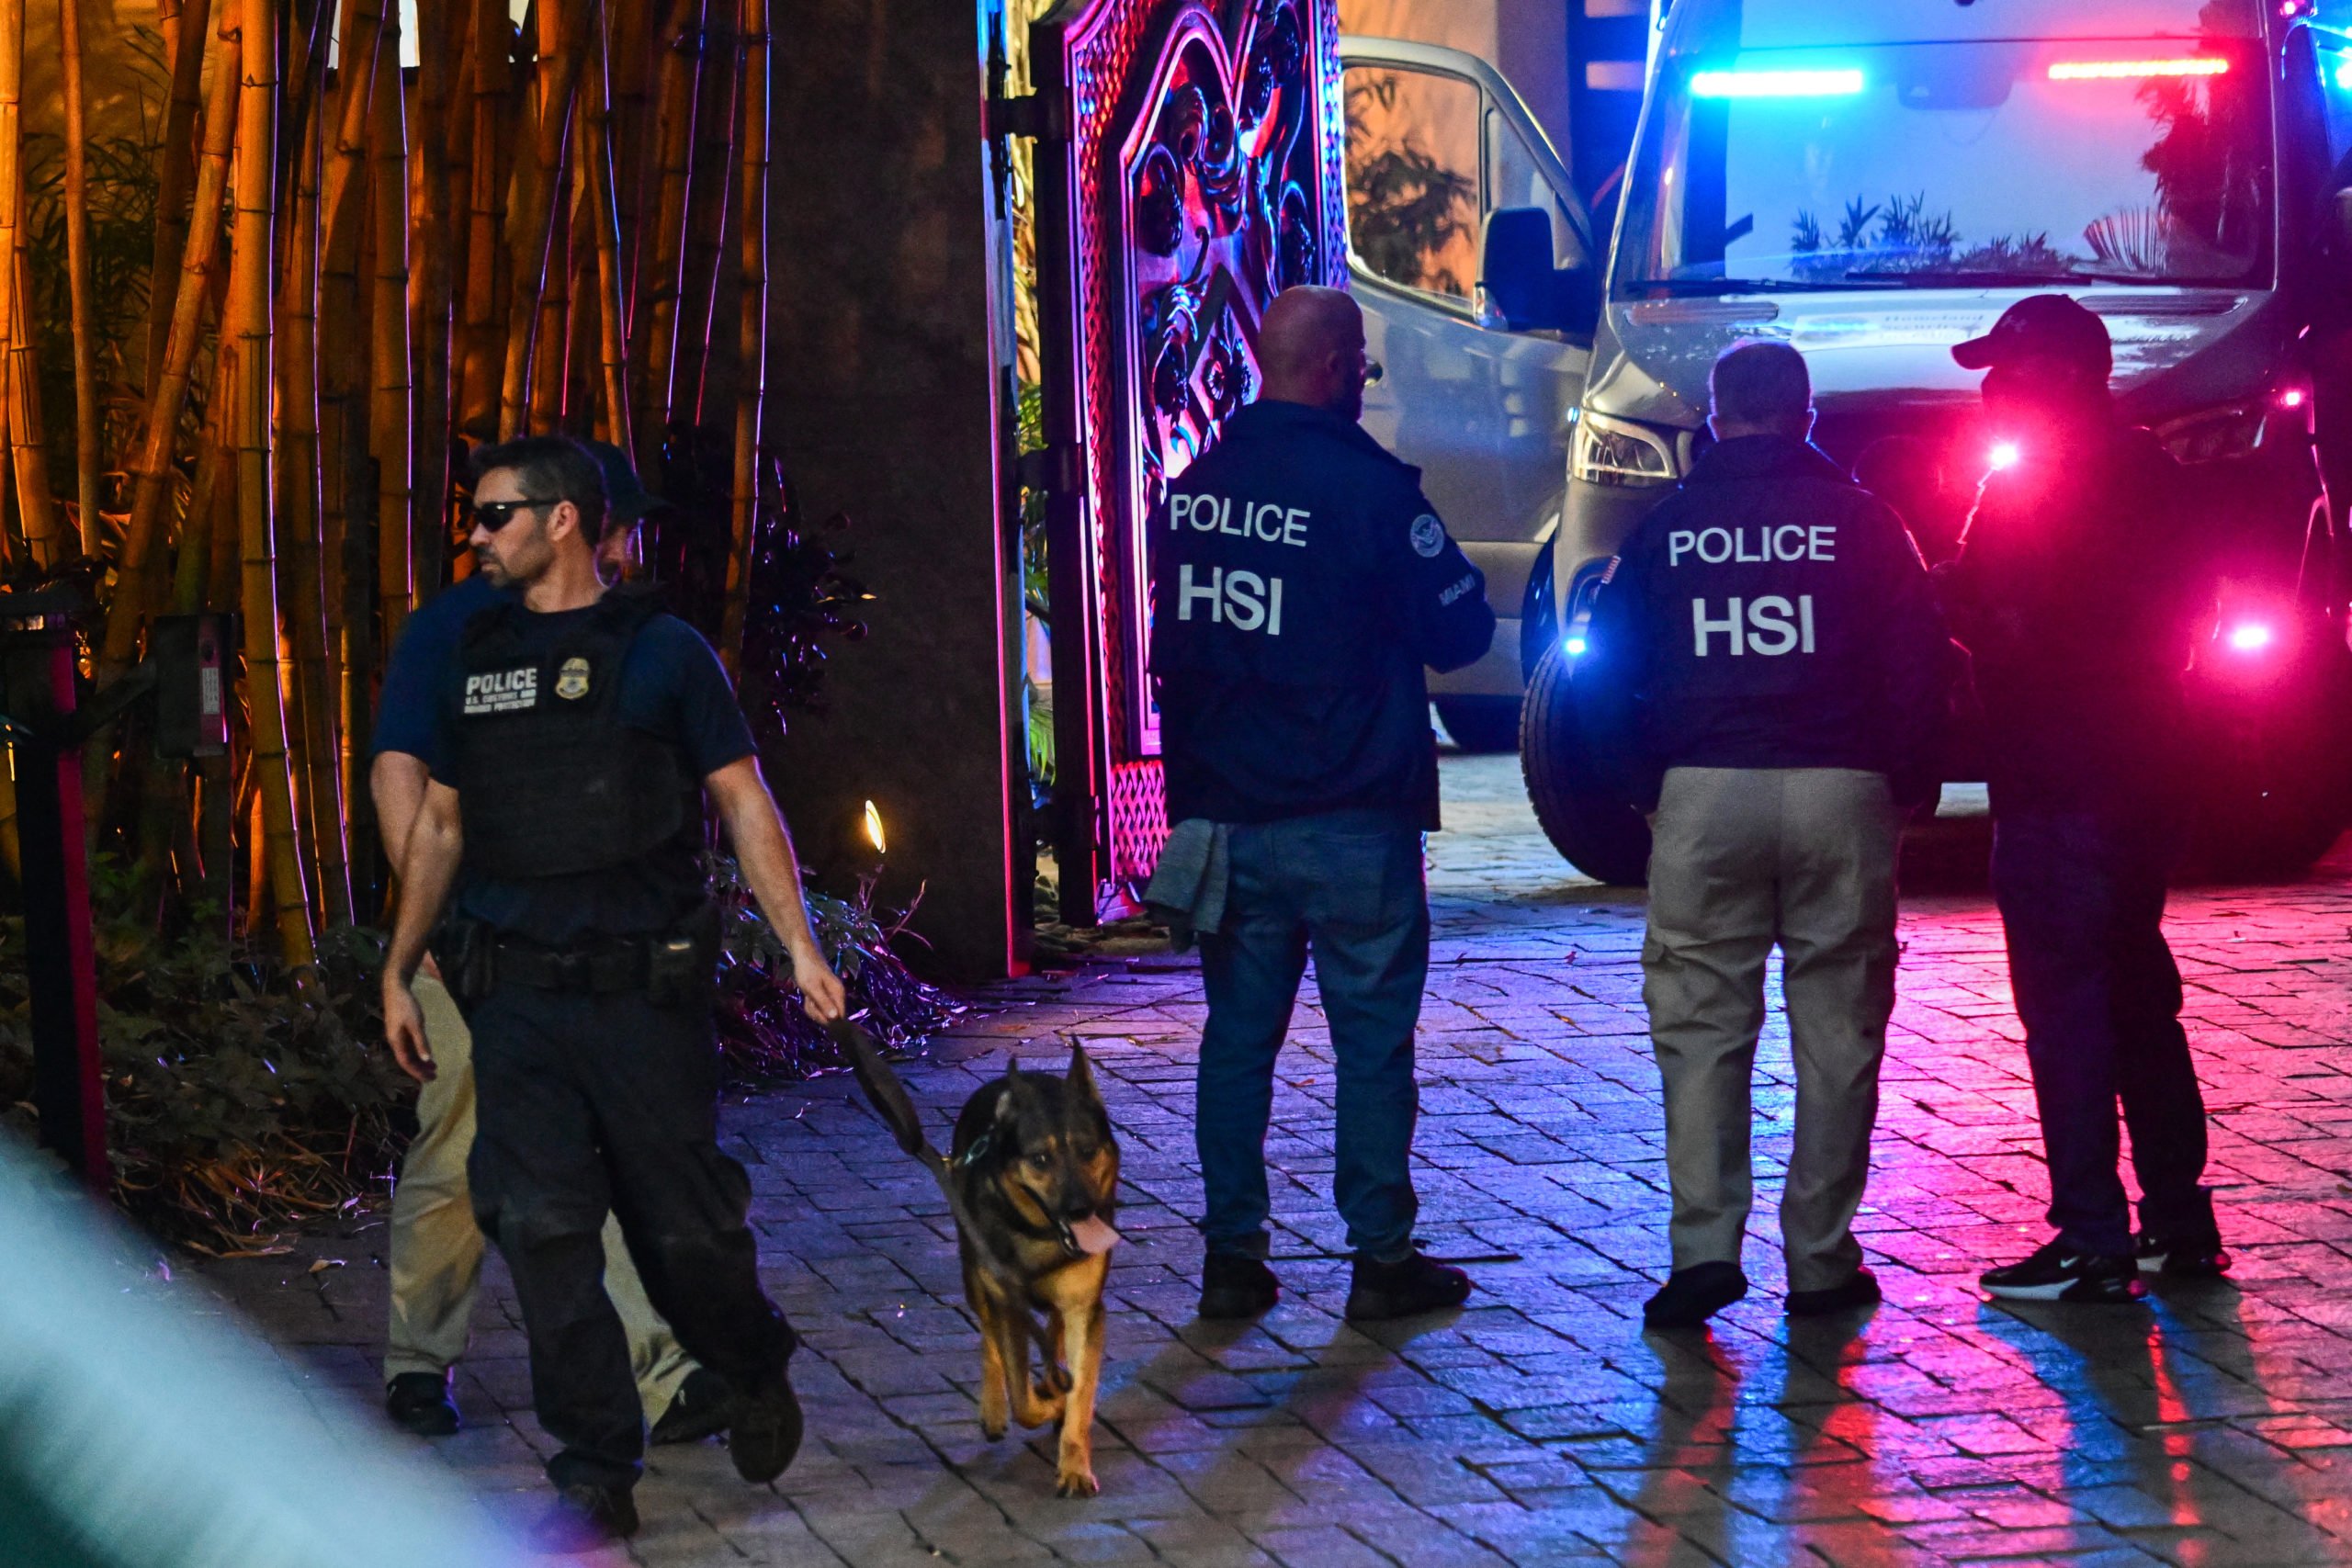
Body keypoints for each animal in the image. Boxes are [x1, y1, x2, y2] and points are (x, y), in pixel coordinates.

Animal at [828, 1024, 1119, 1504]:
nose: (1081, 1210)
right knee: (990, 1340)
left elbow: (1081, 1390)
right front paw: (1046, 1402)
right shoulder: (1005, 1300)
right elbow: (1023, 1395)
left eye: (1088, 1150)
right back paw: (998, 1407)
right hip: (974, 1276)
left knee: (1052, 1331)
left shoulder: (1084, 1307)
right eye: (1040, 1159)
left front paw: (1075, 1463)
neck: (1036, 1233)